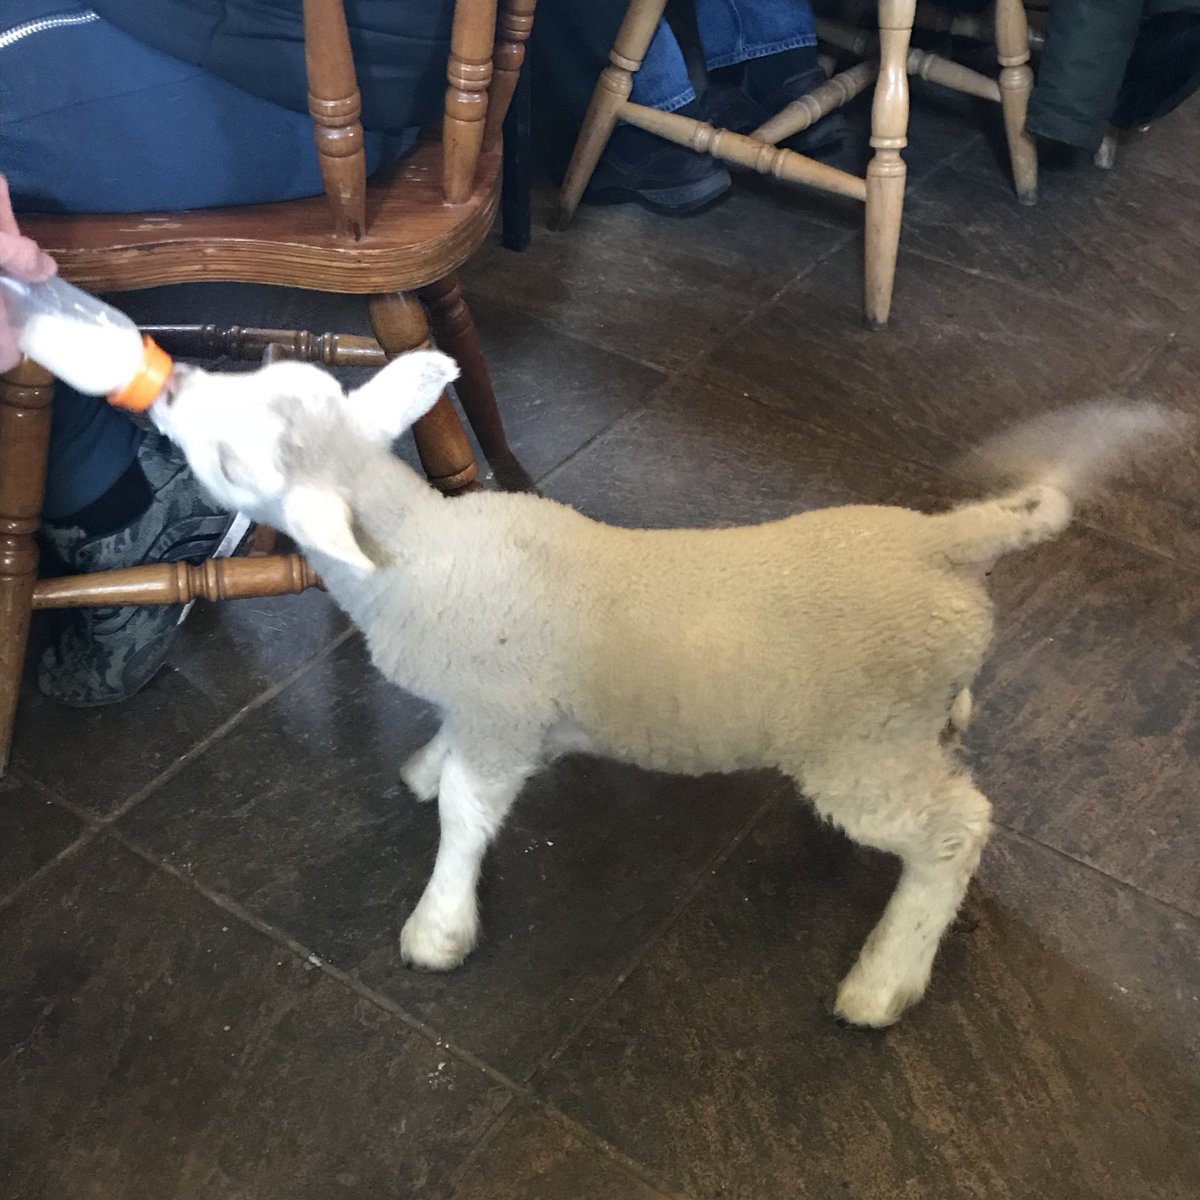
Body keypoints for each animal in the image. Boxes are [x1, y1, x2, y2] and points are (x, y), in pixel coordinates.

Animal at [151, 351, 1175, 1028]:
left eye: (231, 459)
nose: (170, 382)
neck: (417, 549)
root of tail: (943, 541)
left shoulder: (501, 711)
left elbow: (465, 817)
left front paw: (439, 926)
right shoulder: (488, 712)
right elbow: (449, 762)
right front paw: (423, 766)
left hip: (859, 747)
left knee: (956, 832)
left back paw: (885, 980)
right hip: (899, 718)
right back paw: (955, 721)